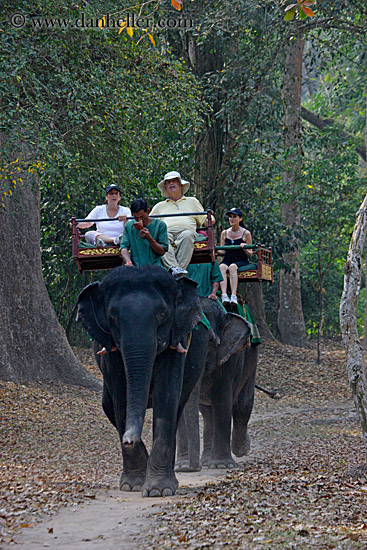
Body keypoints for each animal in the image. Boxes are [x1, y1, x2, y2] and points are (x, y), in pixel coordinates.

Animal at [76, 266, 211, 498]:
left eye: (162, 313)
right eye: (112, 316)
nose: (128, 440)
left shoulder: (176, 341)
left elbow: (166, 395)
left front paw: (159, 489)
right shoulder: (110, 349)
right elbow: (121, 397)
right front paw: (133, 485)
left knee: (177, 409)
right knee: (108, 406)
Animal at [176, 300, 258, 472]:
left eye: (210, 341)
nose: (194, 468)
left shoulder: (229, 359)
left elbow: (223, 400)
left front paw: (222, 464)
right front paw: (182, 467)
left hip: (251, 358)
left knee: (243, 404)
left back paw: (241, 449)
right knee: (208, 414)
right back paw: (207, 461)